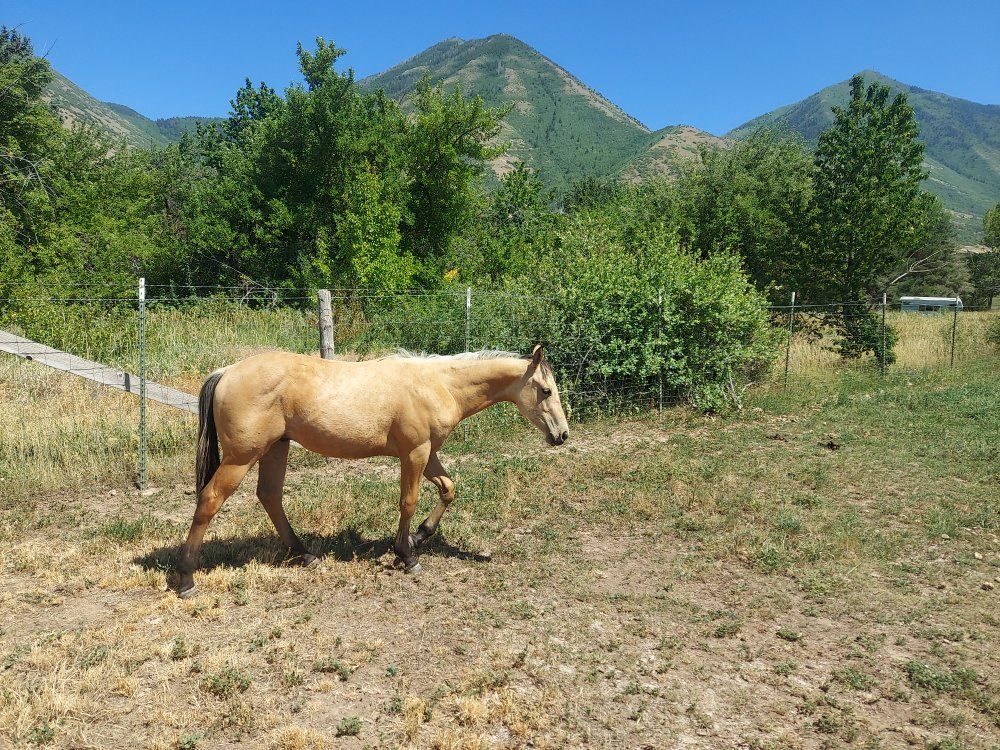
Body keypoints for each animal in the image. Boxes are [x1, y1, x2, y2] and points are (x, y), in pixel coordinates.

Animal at [175, 345, 569, 597]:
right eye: (546, 390)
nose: (562, 435)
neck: (438, 384)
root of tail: (226, 372)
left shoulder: (428, 453)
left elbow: (448, 488)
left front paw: (420, 537)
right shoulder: (414, 453)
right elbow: (408, 501)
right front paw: (406, 555)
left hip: (276, 448)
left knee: (270, 496)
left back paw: (305, 555)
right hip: (242, 457)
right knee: (210, 500)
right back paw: (186, 579)